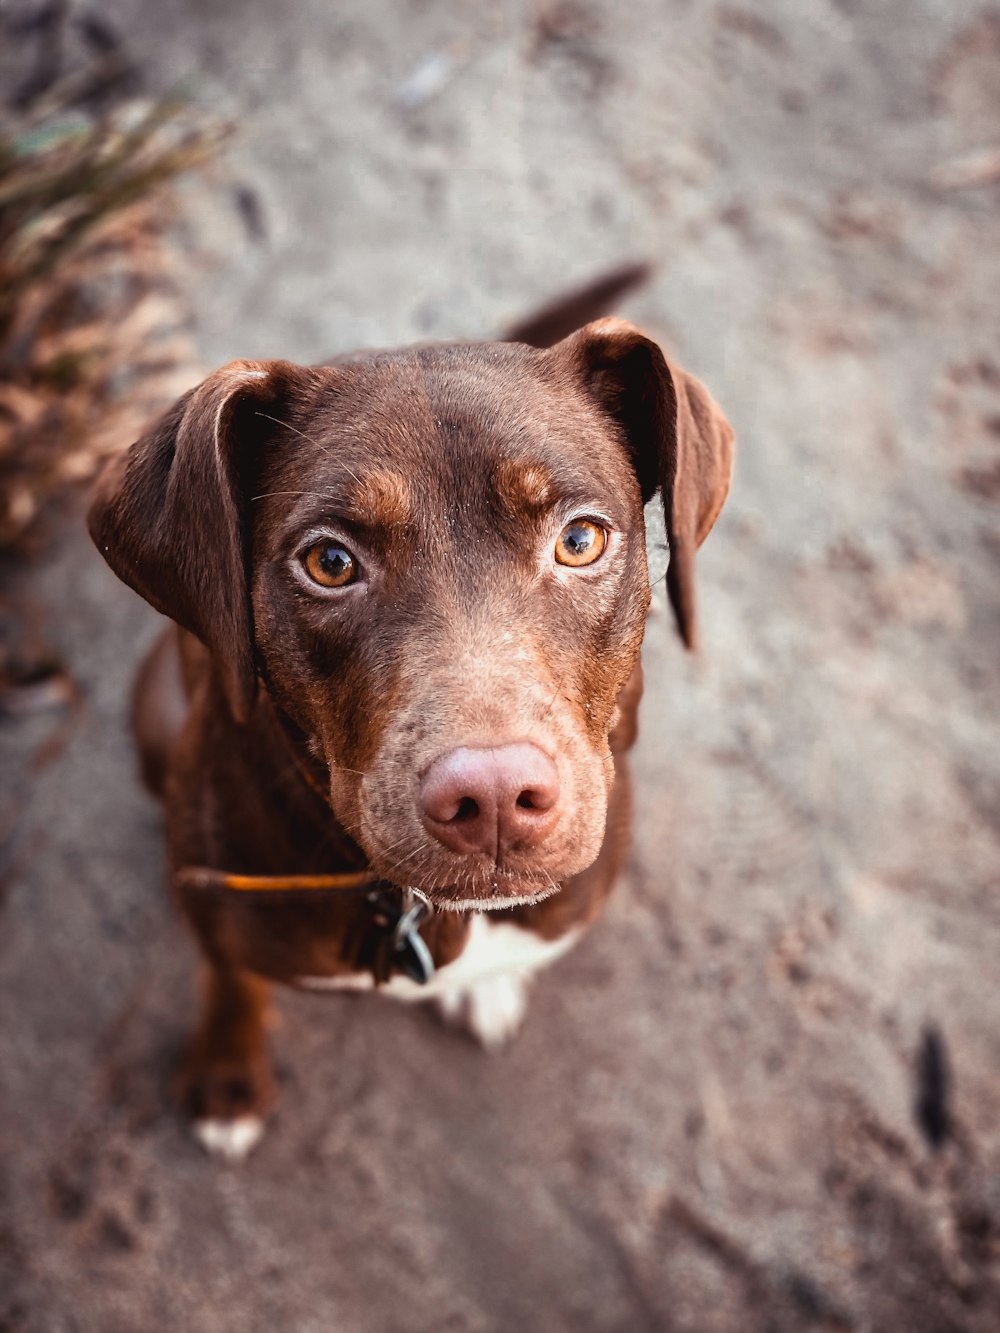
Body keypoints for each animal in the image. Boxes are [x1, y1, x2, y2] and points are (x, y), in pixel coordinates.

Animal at [90, 270, 730, 1157]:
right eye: (329, 561)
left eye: (580, 540)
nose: (493, 799)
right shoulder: (214, 904)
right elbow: (232, 983)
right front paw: (228, 1077)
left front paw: (488, 982)